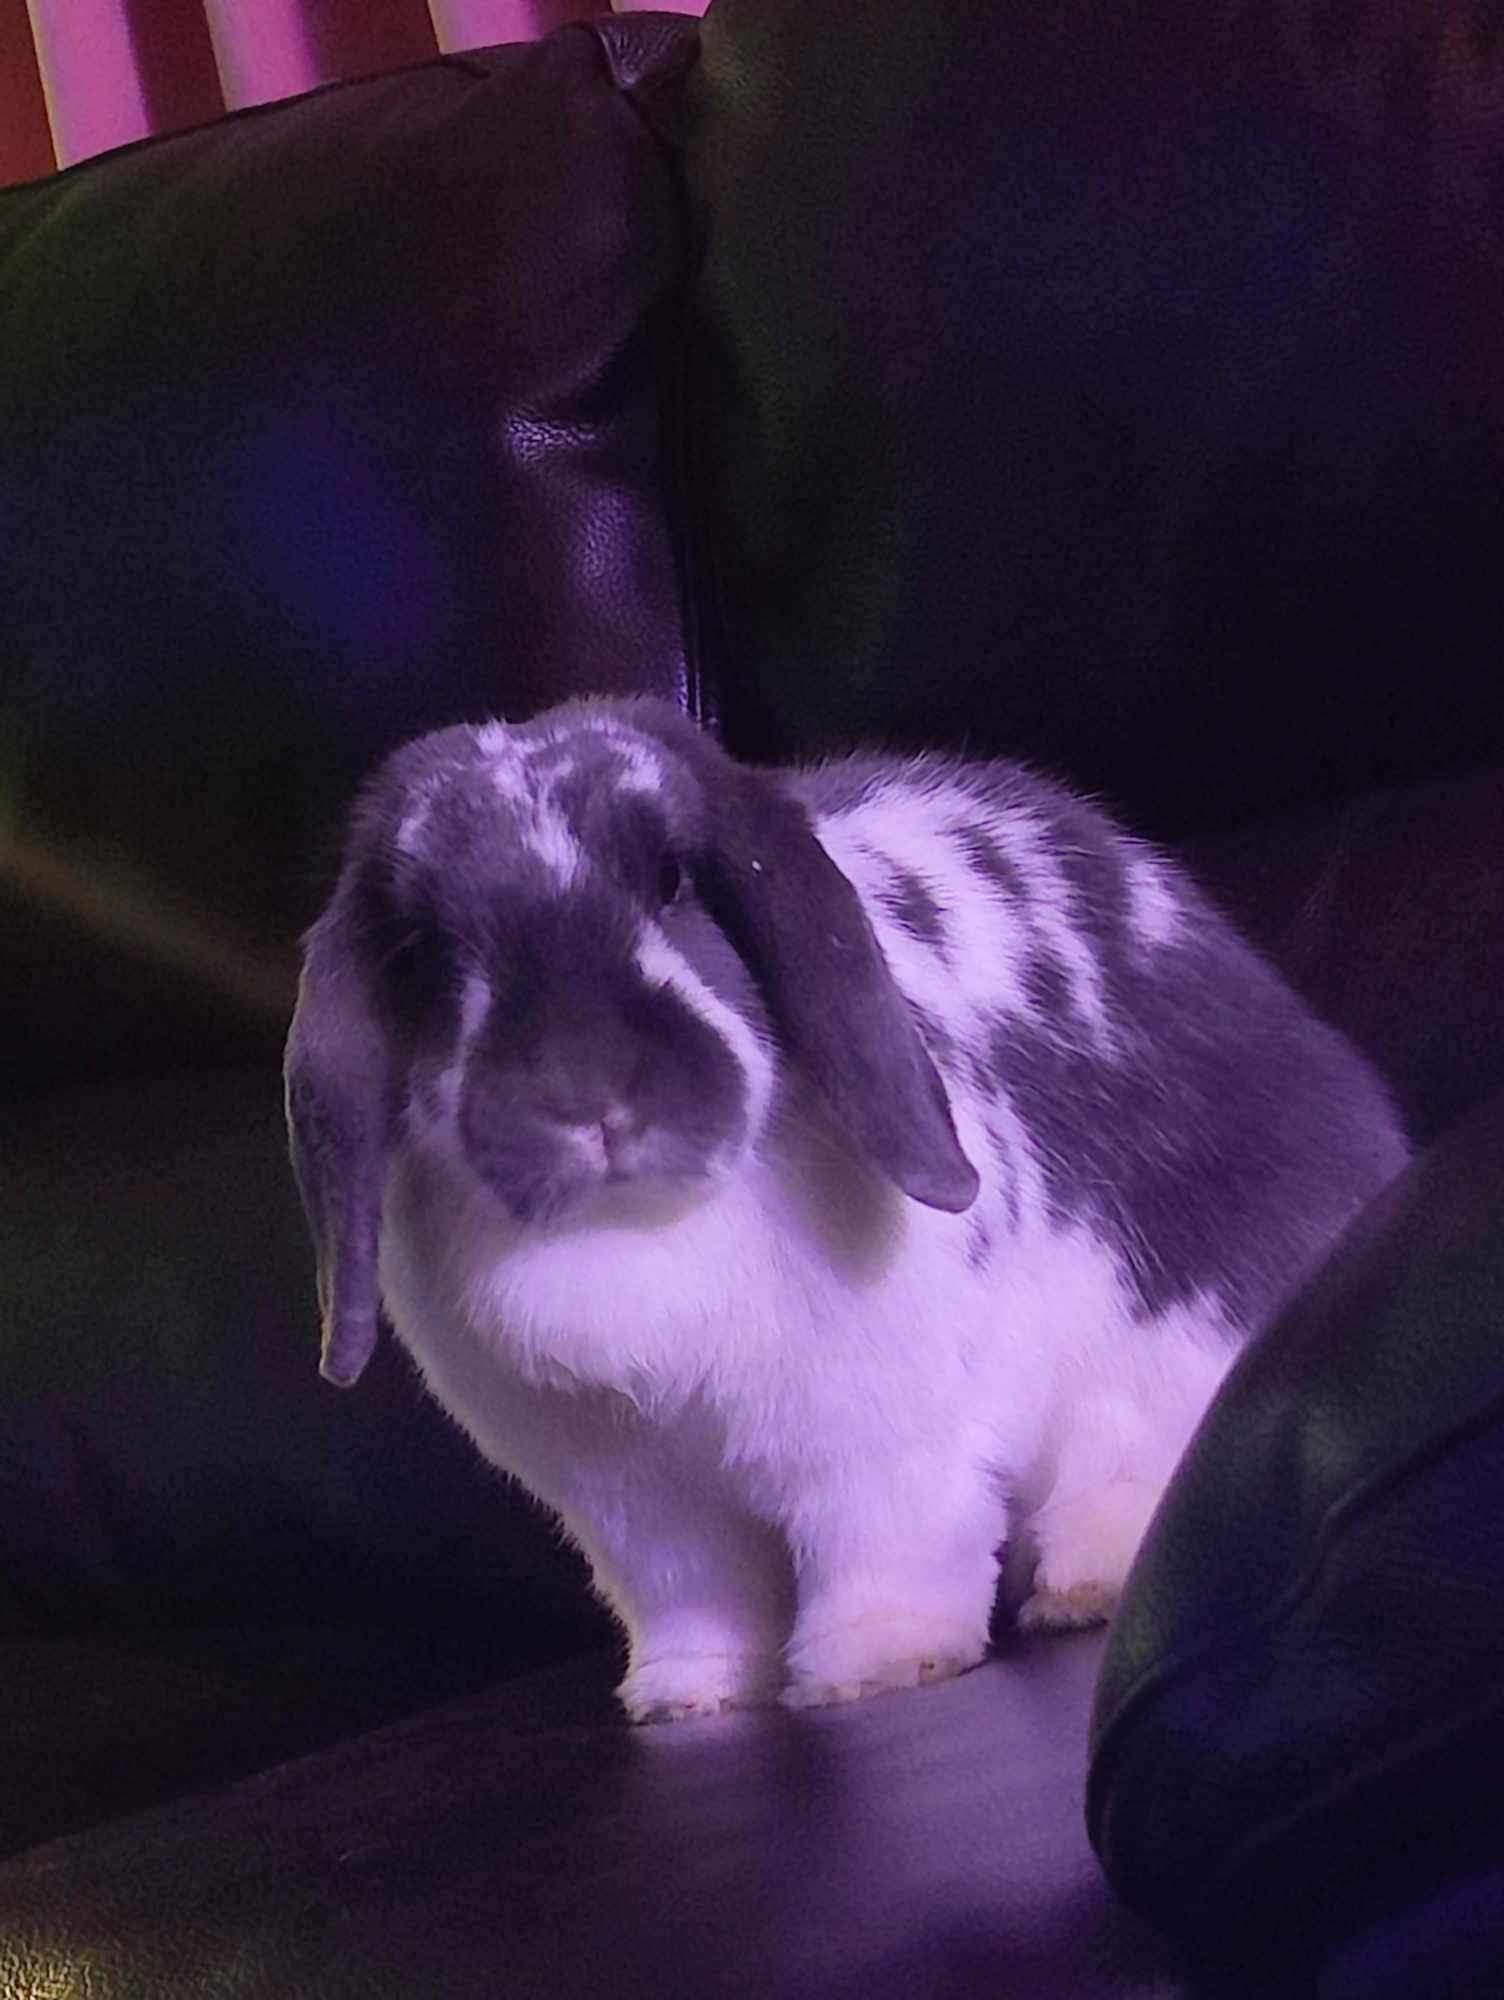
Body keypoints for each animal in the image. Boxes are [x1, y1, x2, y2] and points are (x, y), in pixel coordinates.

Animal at [285, 694, 1410, 1721]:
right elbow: (694, 1597)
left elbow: (885, 1546)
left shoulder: (876, 1444)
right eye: (425, 951)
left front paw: (870, 1665)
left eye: (673, 882)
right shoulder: (636, 1509)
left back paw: (1087, 1580)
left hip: (1172, 1347)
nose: (583, 1091)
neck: (643, 1225)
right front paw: (687, 1694)